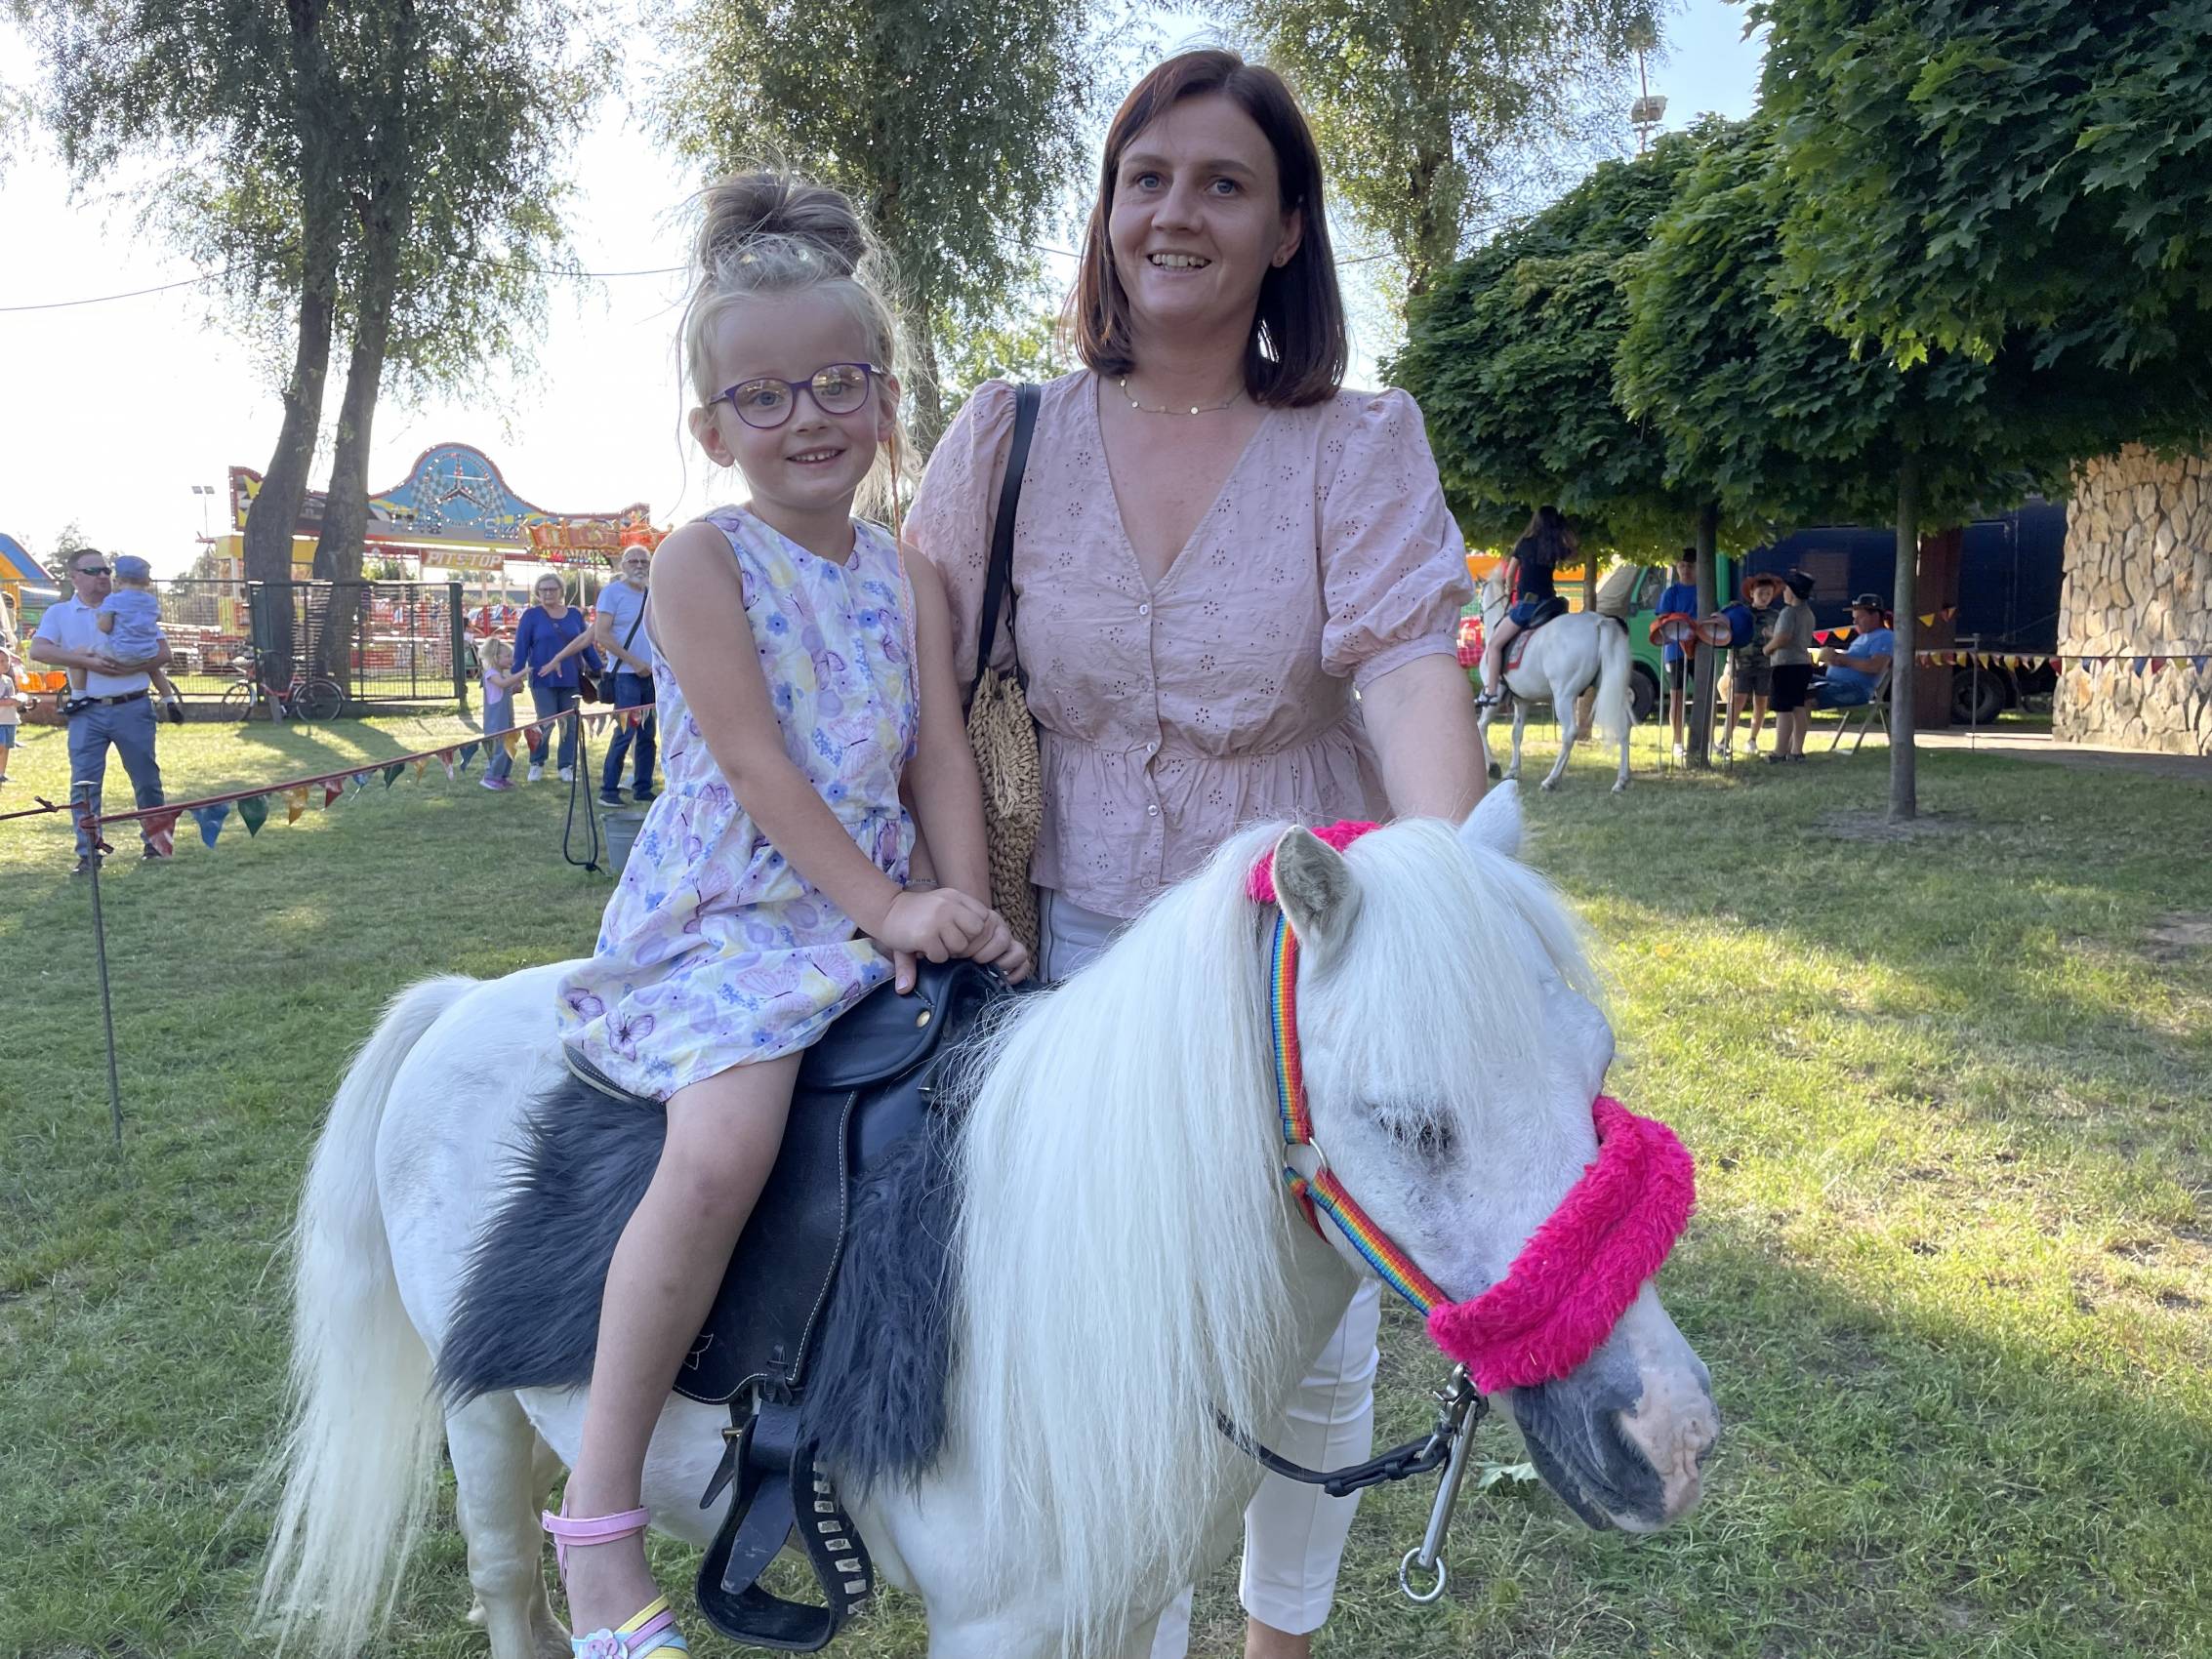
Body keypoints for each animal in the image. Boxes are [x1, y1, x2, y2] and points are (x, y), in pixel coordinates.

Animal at [257, 785, 1717, 1659]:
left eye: (1593, 1071)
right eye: (1411, 1123)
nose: (1670, 1441)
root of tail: (462, 1001)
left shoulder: (1132, 1603)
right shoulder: (997, 1628)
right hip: (477, 1415)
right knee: (512, 1576)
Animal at [1477, 572, 1634, 793]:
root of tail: (1599, 621)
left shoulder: (1496, 697)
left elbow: (1481, 726)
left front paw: (1493, 767)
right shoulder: (1522, 701)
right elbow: (1516, 733)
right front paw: (1513, 770)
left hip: (1564, 696)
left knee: (1570, 733)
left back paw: (1551, 779)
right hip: (1612, 688)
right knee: (1624, 726)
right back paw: (1621, 780)